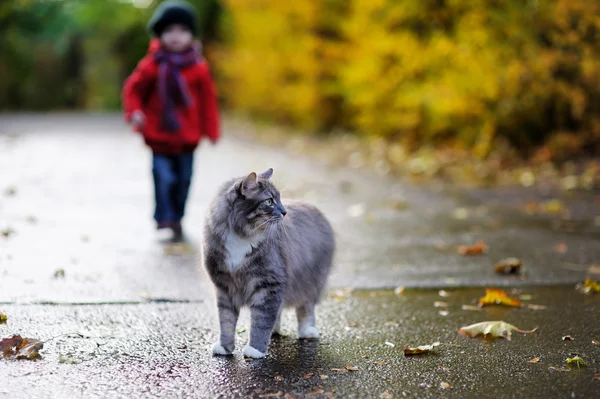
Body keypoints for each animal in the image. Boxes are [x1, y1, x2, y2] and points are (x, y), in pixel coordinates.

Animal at [200, 169, 332, 360]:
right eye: (269, 201)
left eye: (279, 199)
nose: (284, 212)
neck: (241, 235)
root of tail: (313, 207)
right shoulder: (224, 287)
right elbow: (226, 322)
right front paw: (225, 347)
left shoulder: (269, 284)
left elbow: (261, 321)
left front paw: (255, 350)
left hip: (310, 281)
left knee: (306, 308)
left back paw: (307, 331)